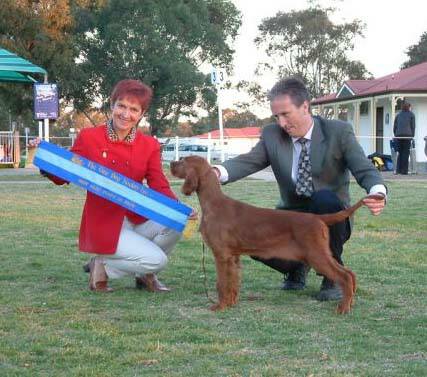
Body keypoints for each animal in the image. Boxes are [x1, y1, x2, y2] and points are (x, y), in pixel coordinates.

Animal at [172, 156, 376, 314]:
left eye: (183, 160)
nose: (172, 162)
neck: (213, 204)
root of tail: (318, 218)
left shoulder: (221, 255)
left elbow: (221, 283)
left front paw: (219, 306)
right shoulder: (233, 257)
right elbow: (233, 282)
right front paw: (230, 303)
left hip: (316, 255)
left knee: (344, 276)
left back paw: (343, 308)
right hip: (319, 253)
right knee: (350, 273)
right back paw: (350, 303)